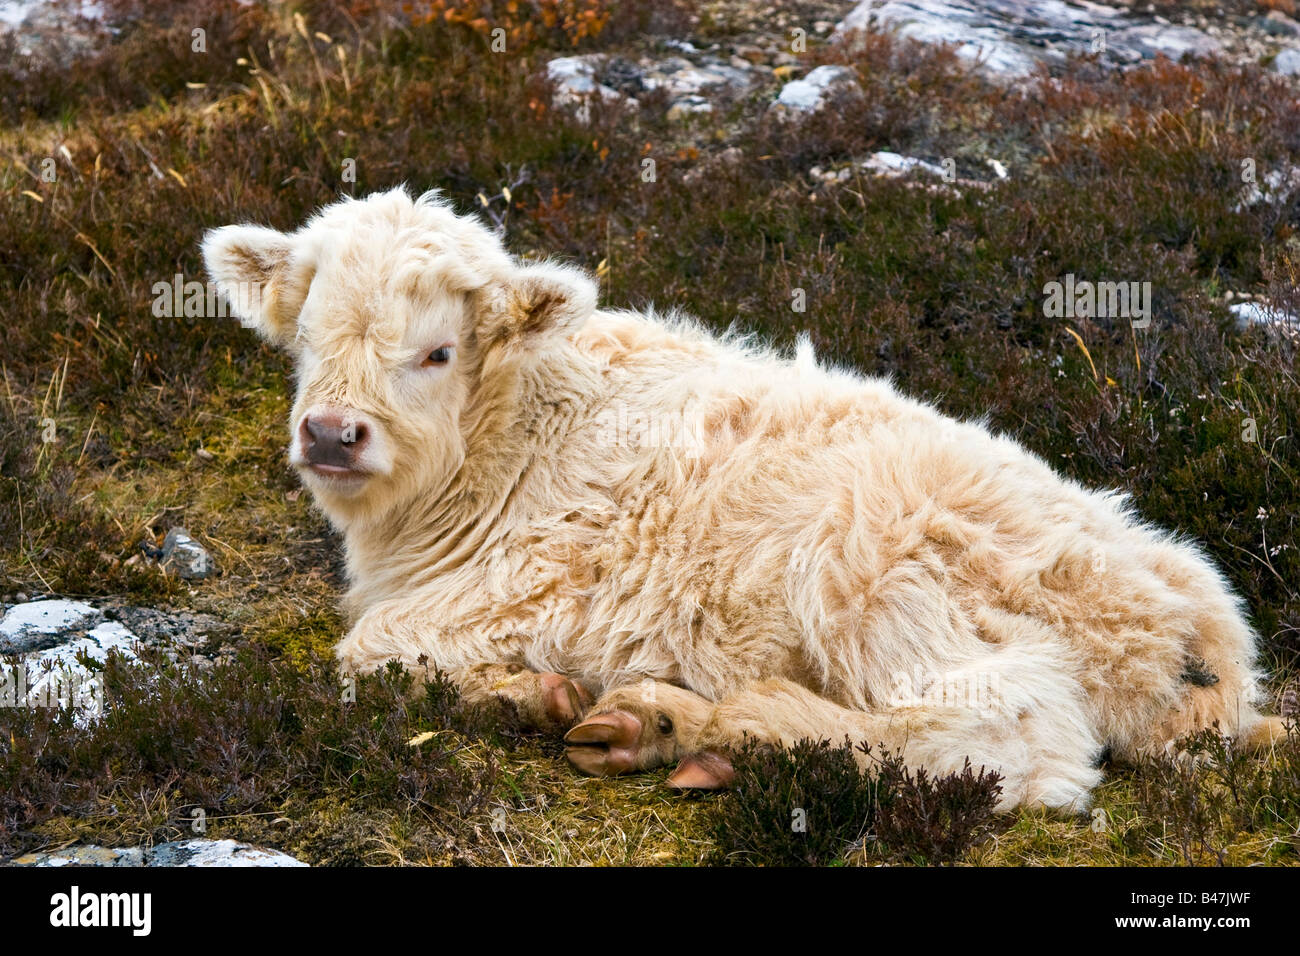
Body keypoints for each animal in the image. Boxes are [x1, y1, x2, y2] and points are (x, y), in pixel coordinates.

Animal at [203, 186, 1286, 810]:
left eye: (435, 351)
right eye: (306, 336)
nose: (331, 433)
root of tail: (1192, 624)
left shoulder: (527, 586)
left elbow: (366, 650)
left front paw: (525, 690)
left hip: (873, 573)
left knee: (1015, 741)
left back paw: (732, 728)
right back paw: (654, 722)